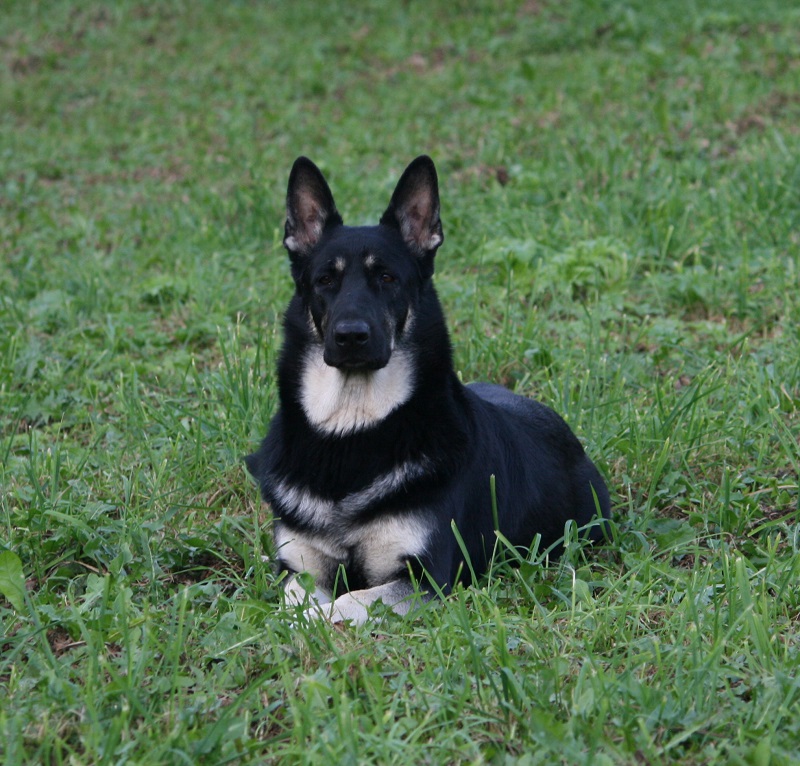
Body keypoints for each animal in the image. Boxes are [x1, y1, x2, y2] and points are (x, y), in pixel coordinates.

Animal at [245, 154, 612, 624]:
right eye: (325, 280)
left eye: (387, 277)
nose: (350, 336)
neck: (353, 427)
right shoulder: (300, 568)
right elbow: (299, 601)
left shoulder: (424, 579)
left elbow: (346, 601)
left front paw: (313, 623)